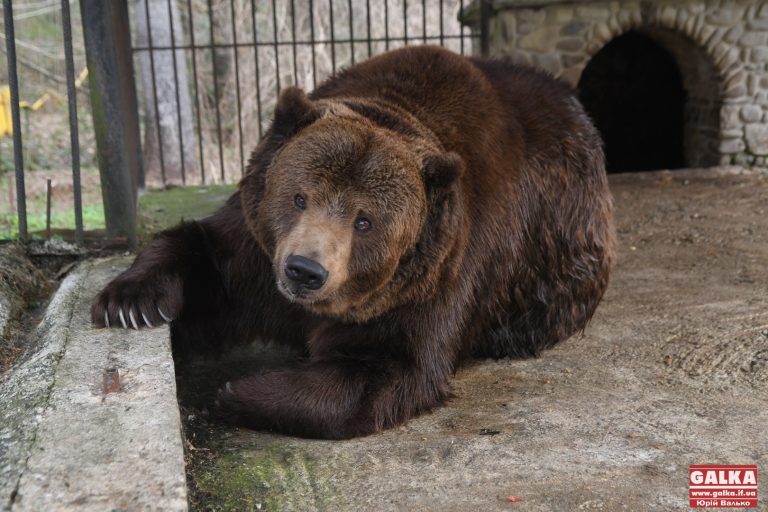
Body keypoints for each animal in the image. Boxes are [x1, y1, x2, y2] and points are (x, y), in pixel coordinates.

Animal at [91, 46, 616, 440]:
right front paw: (129, 303)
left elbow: (385, 367)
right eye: (299, 196)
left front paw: (237, 391)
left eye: (365, 221)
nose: (304, 270)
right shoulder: (256, 254)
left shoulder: (437, 276)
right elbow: (206, 259)